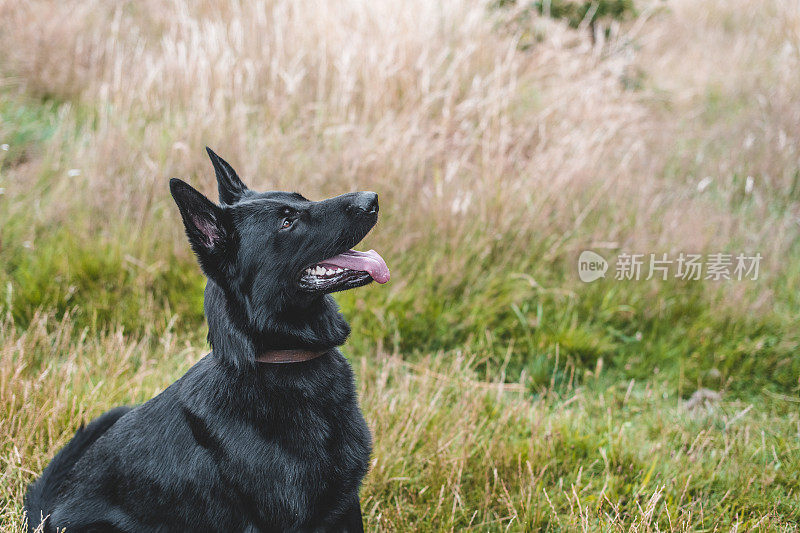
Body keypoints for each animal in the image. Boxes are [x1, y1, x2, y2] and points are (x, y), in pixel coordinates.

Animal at [22, 149, 390, 532]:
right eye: (287, 222)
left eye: (301, 199)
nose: (372, 199)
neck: (282, 358)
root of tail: (47, 515)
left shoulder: (346, 506)